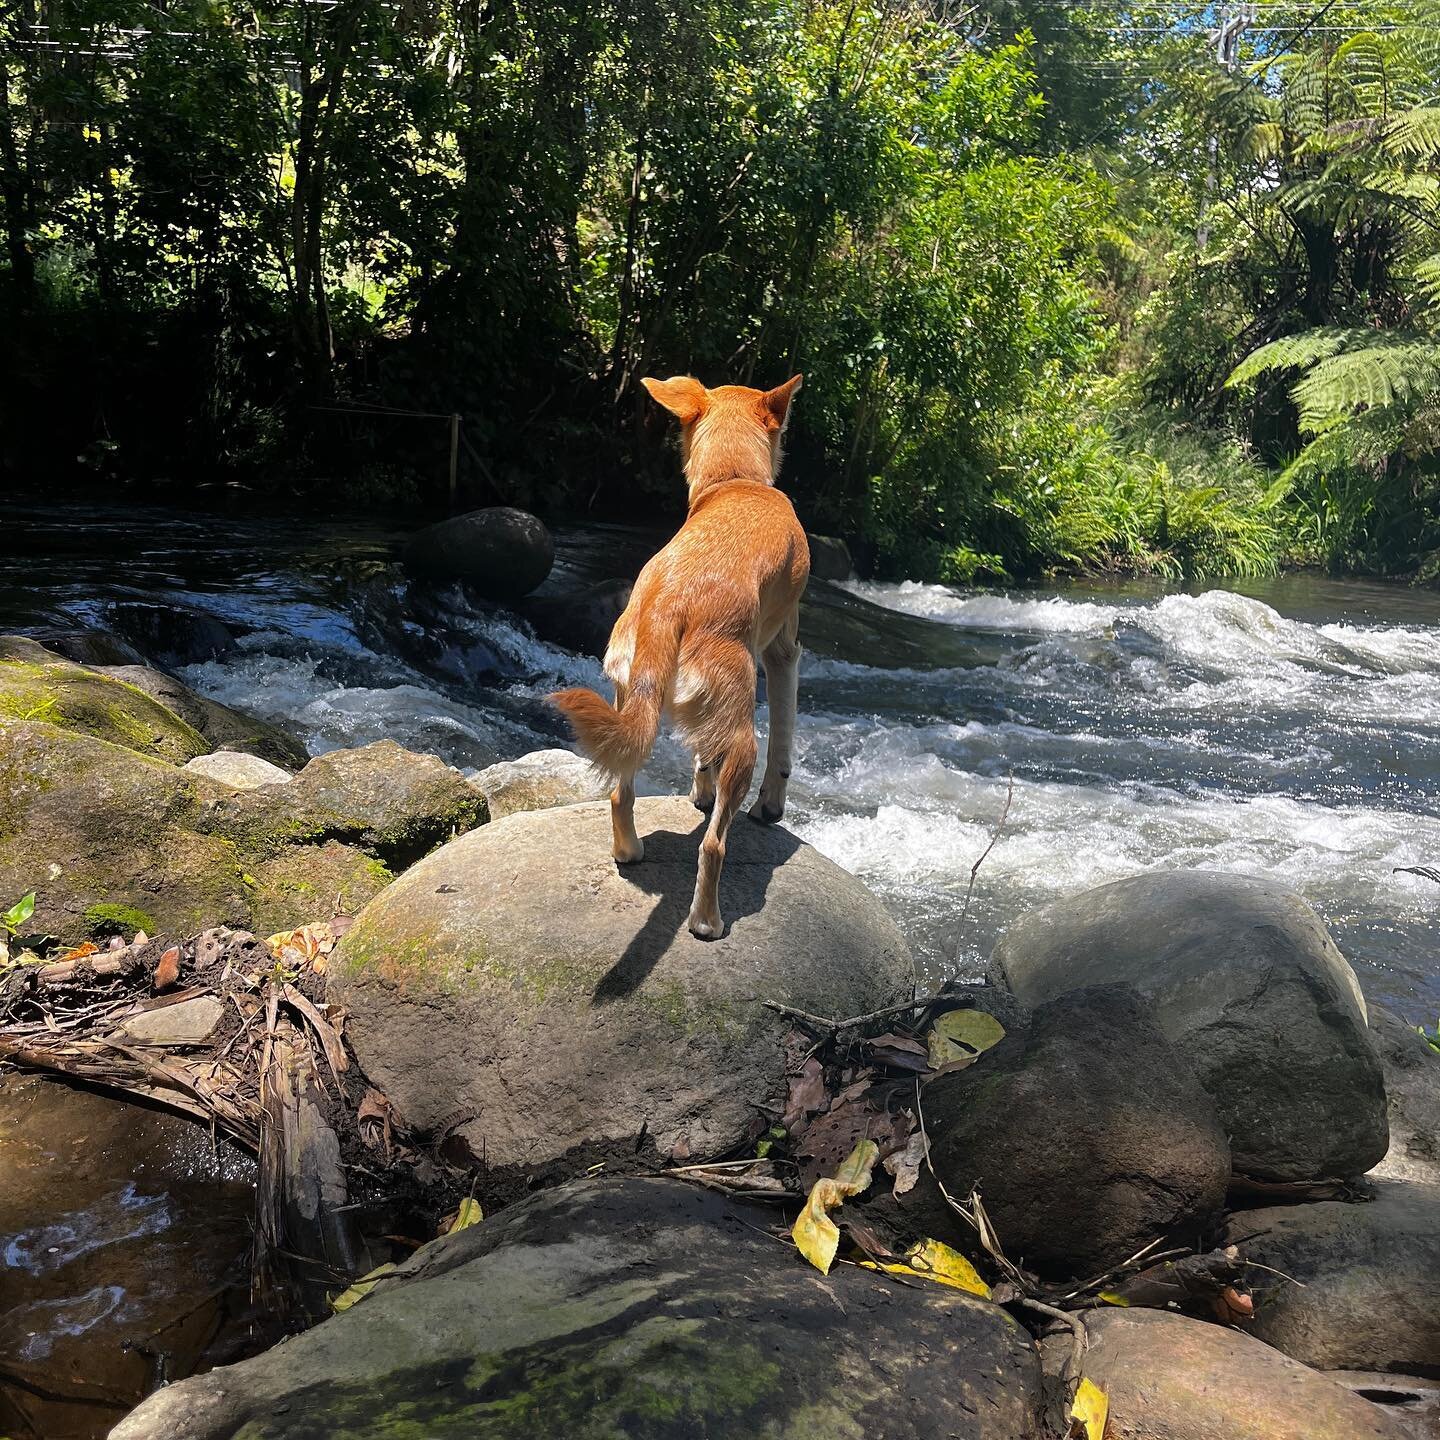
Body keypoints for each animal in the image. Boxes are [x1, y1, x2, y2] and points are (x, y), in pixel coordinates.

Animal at [550, 371, 806, 938]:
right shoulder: (784, 651)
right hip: (742, 733)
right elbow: (783, 744)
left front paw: (700, 791)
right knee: (713, 845)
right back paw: (707, 921)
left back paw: (629, 851)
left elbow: (701, 756)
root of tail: (670, 603)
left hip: (629, 700)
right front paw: (770, 807)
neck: (734, 480)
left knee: (621, 792)